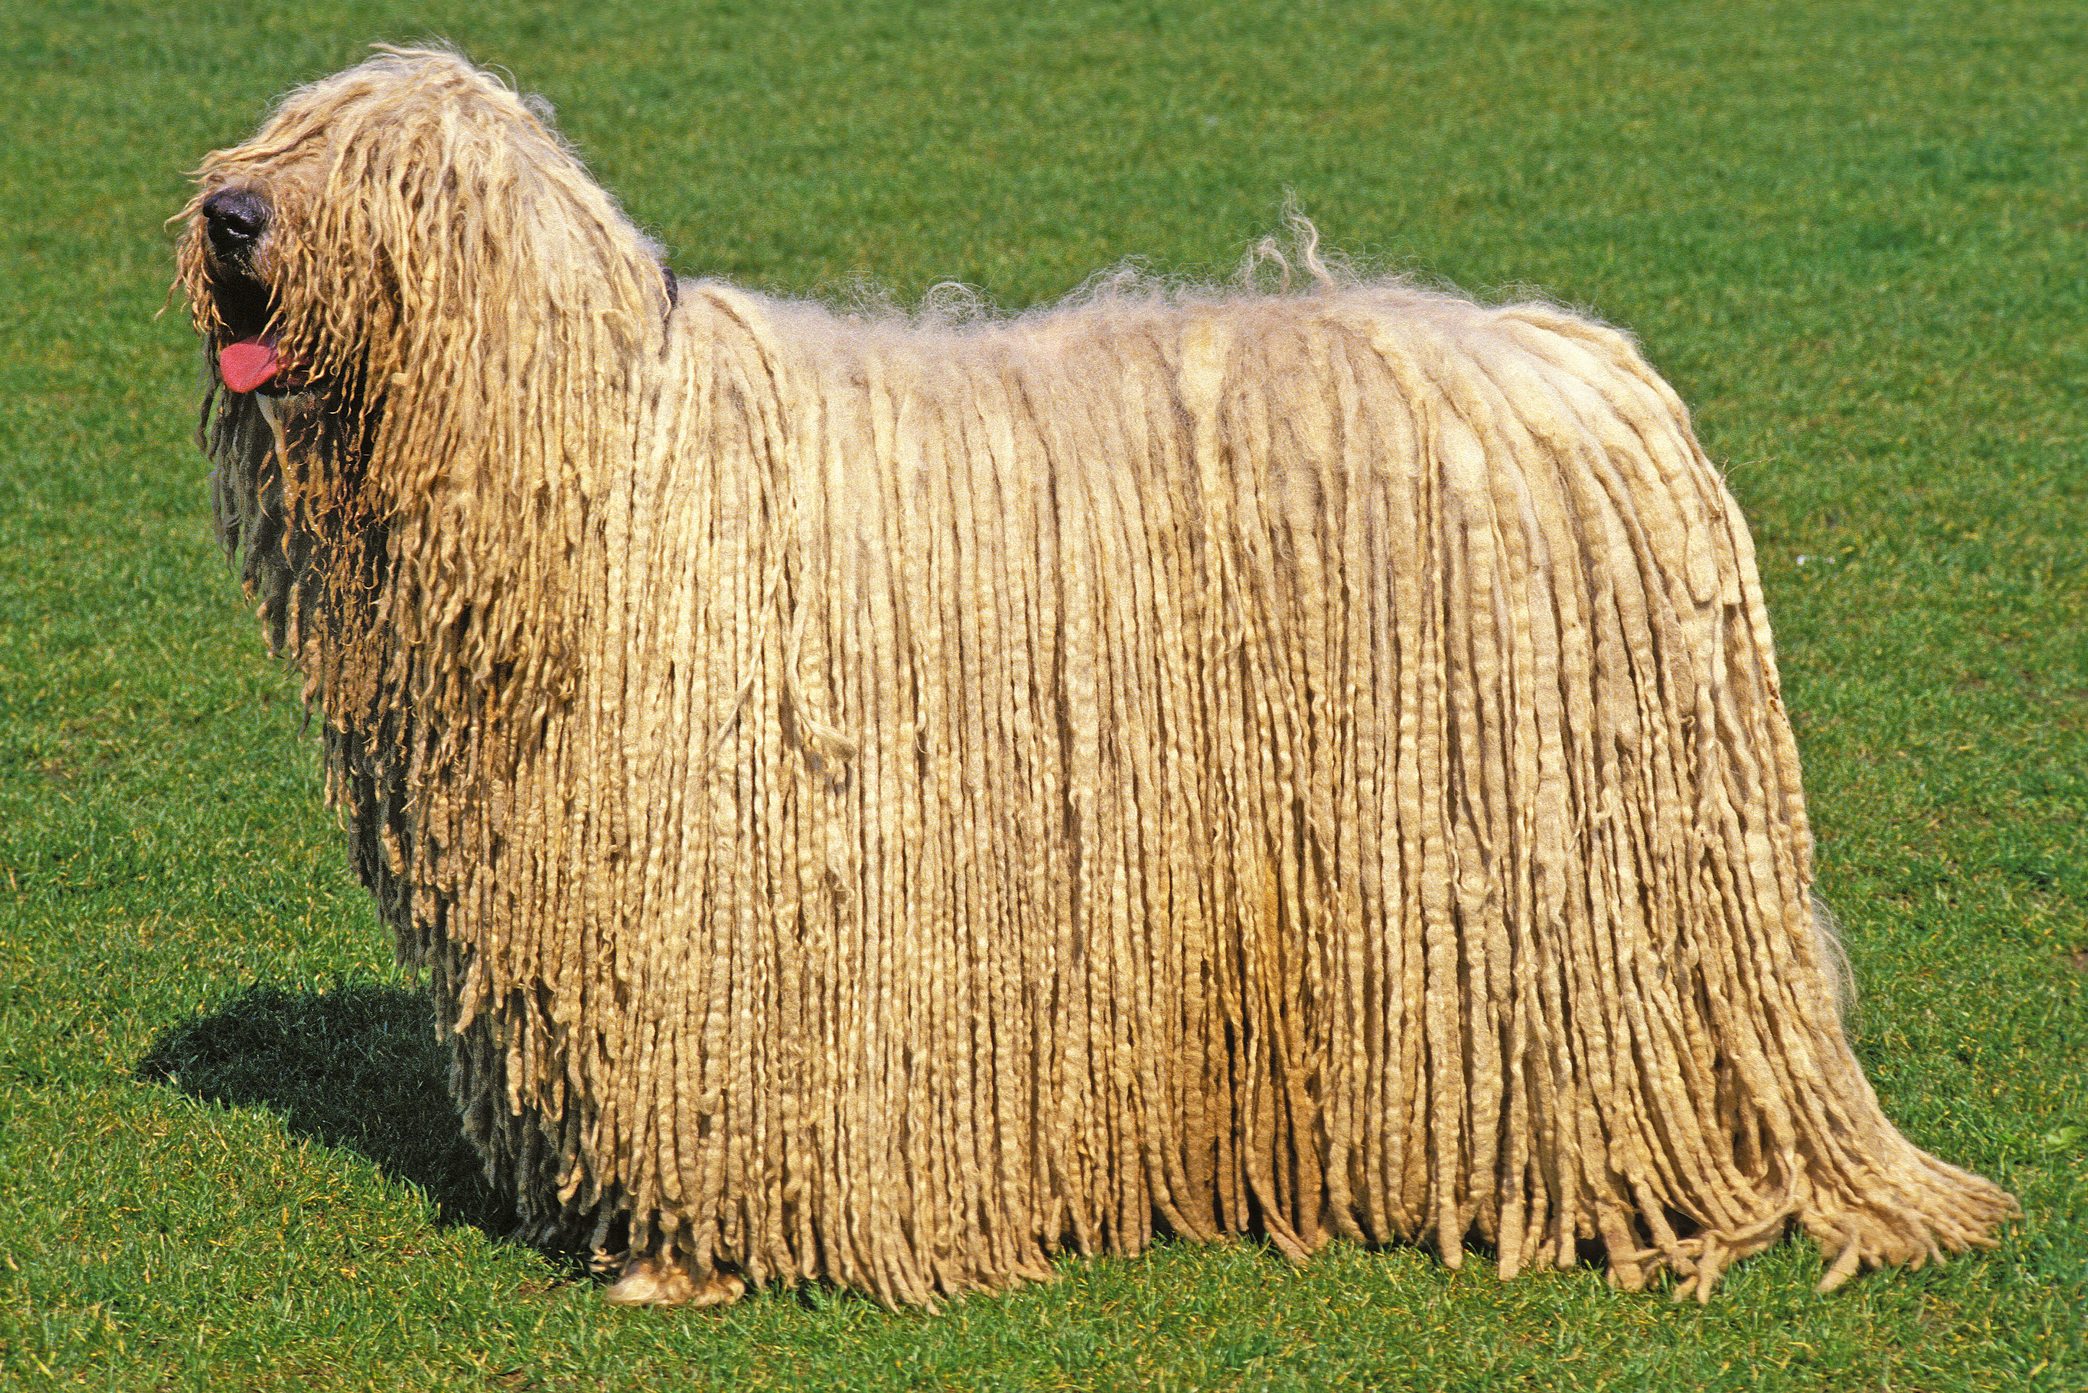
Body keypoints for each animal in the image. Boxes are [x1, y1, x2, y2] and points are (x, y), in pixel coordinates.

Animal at [179, 43, 2004, 1311]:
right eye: (282, 131)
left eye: (384, 166)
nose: (228, 211)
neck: (598, 482)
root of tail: (1602, 382)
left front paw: (692, 1263)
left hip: (1564, 889)